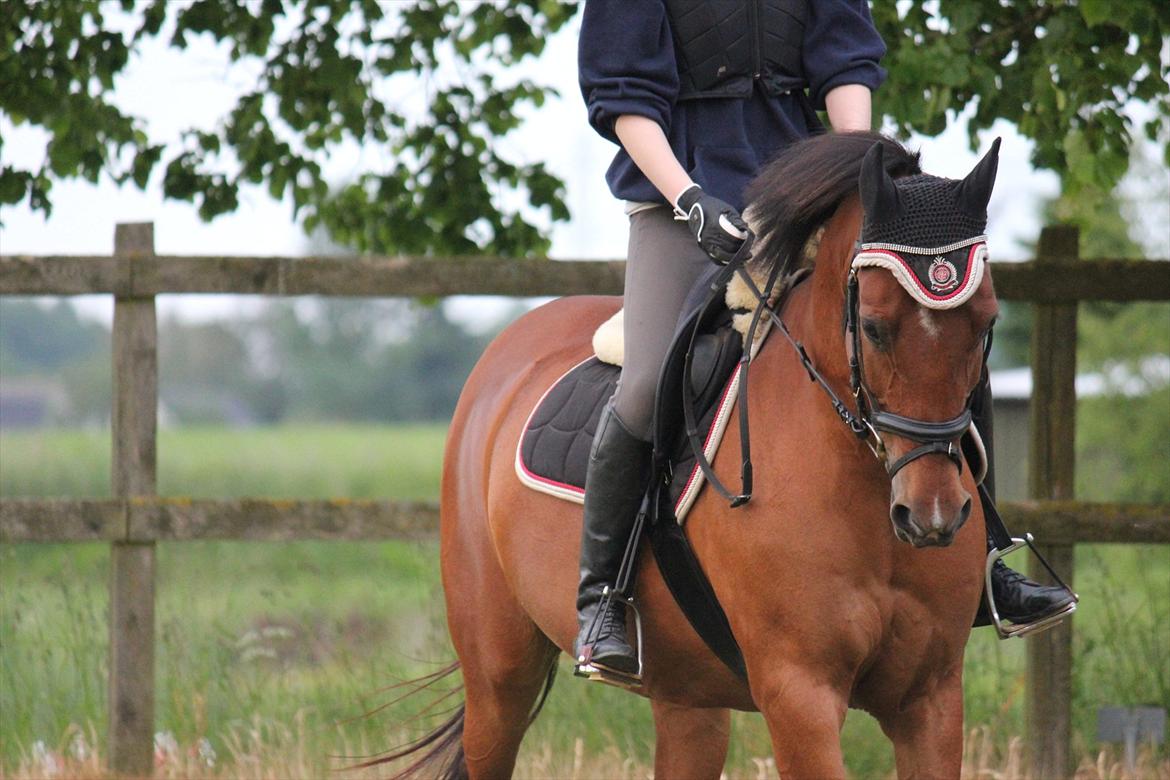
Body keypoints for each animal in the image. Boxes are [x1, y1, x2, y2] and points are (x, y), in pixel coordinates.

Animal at [388, 130, 1001, 776]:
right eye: (875, 327)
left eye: (986, 323)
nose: (932, 515)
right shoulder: (799, 693)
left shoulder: (931, 697)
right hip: (498, 673)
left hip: (686, 695)